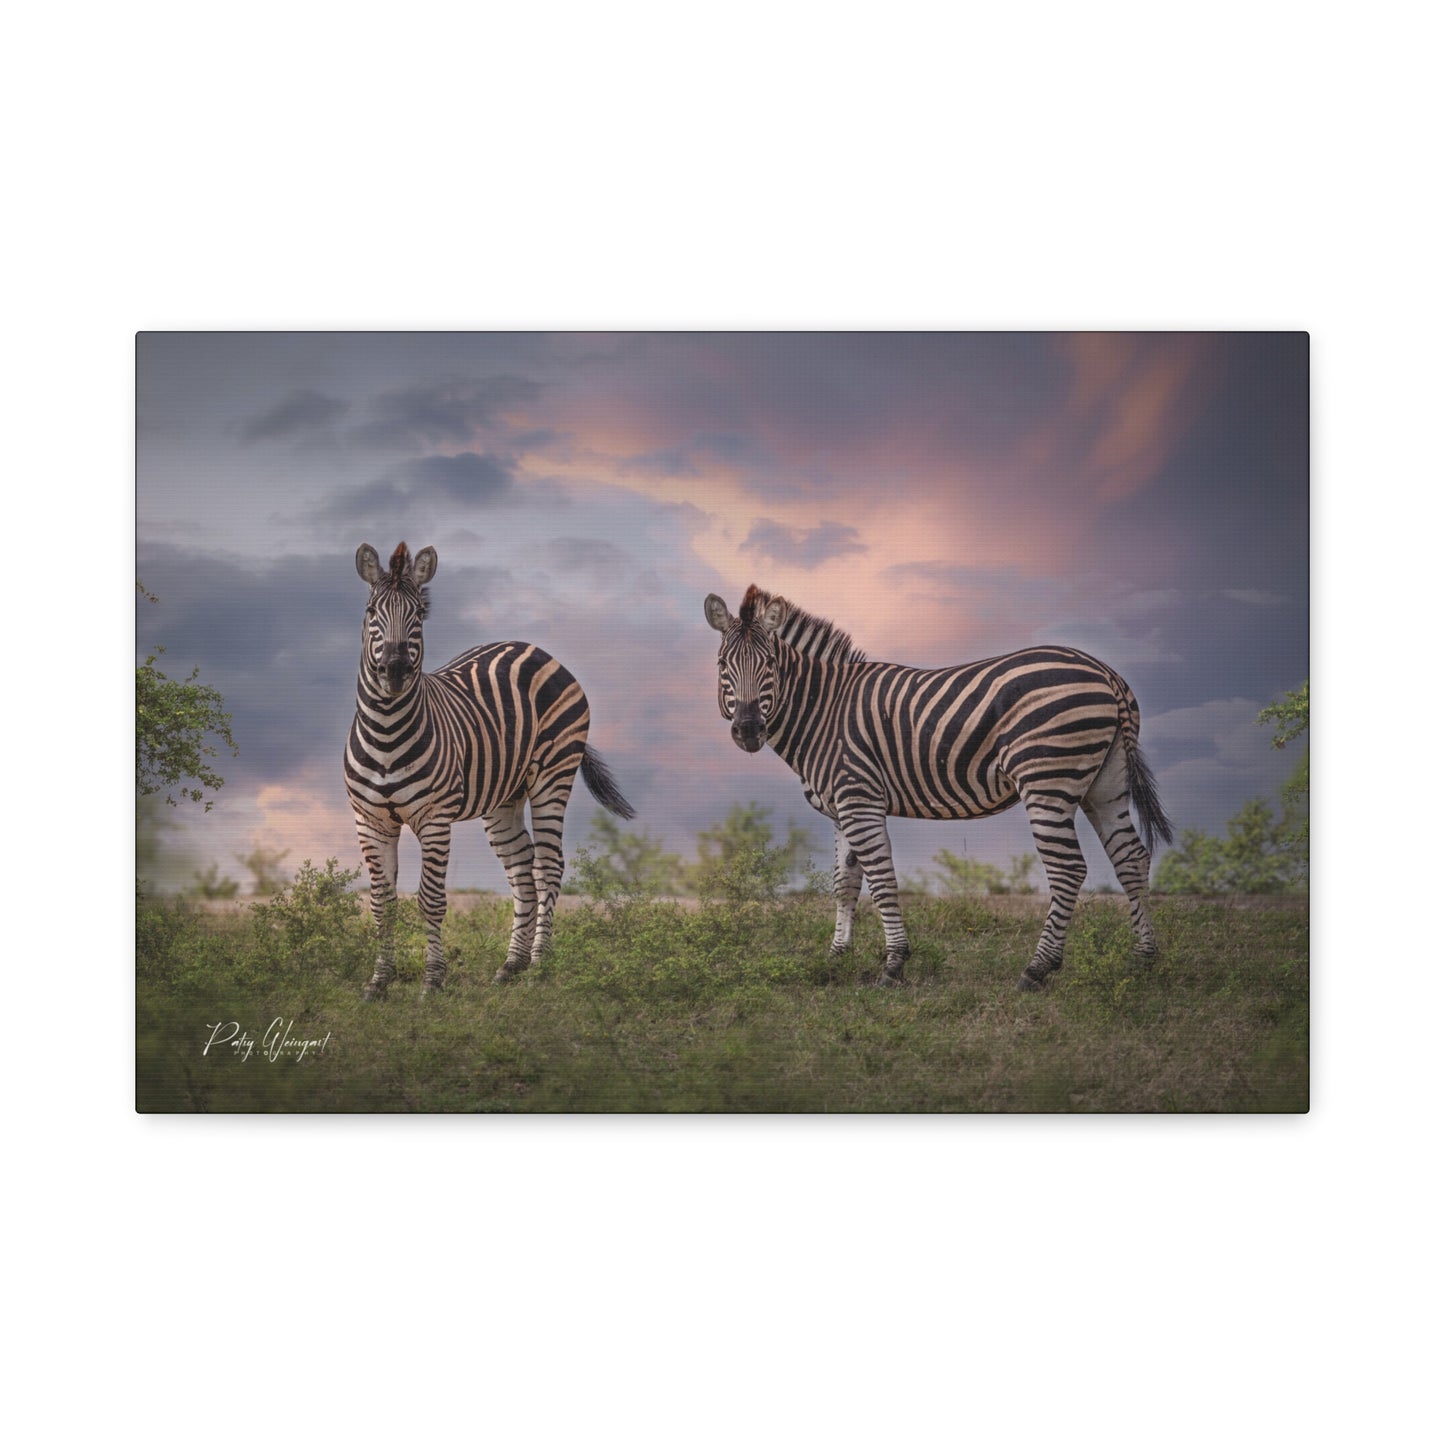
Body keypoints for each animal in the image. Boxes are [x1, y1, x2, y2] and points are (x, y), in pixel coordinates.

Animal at [346, 542, 634, 999]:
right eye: (372, 610)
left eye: (419, 614)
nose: (395, 670)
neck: (387, 731)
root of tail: (533, 647)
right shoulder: (369, 820)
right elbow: (381, 904)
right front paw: (379, 982)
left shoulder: (434, 819)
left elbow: (430, 899)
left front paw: (433, 980)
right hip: (504, 797)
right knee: (521, 871)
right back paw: (512, 964)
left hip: (553, 775)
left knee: (548, 867)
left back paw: (539, 966)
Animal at [704, 585, 1173, 991]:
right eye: (723, 667)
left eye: (769, 666)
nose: (748, 731)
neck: (824, 711)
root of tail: (1105, 673)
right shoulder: (841, 808)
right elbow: (845, 883)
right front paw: (836, 956)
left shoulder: (859, 798)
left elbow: (881, 879)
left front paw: (893, 964)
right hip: (1105, 784)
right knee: (1131, 858)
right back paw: (1143, 959)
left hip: (1047, 781)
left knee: (1068, 869)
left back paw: (1037, 969)